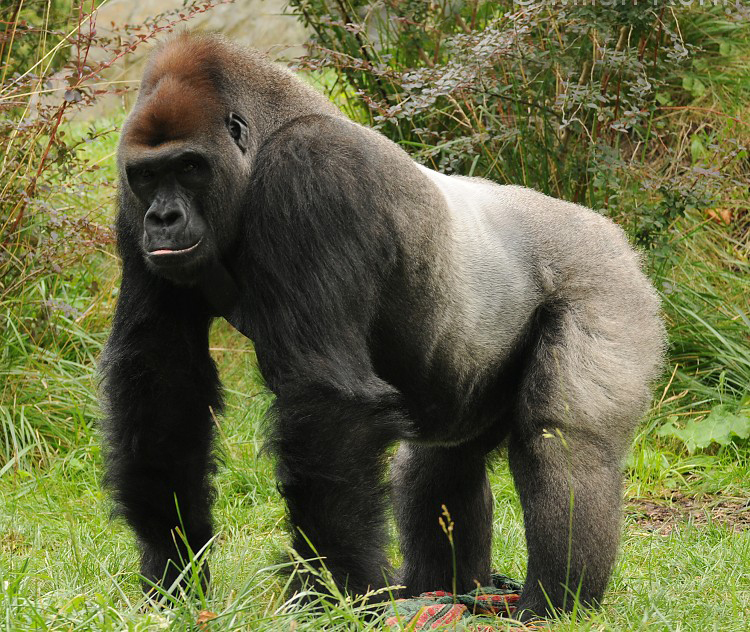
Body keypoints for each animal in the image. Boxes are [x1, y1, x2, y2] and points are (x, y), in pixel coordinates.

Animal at [101, 32, 665, 619]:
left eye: (190, 167)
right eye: (148, 175)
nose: (163, 218)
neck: (261, 143)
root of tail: (614, 235)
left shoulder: (313, 173)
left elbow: (324, 399)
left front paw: (337, 588)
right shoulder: (130, 207)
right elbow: (162, 378)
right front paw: (172, 565)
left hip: (605, 281)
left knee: (562, 443)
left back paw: (551, 602)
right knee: (439, 464)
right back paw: (443, 590)